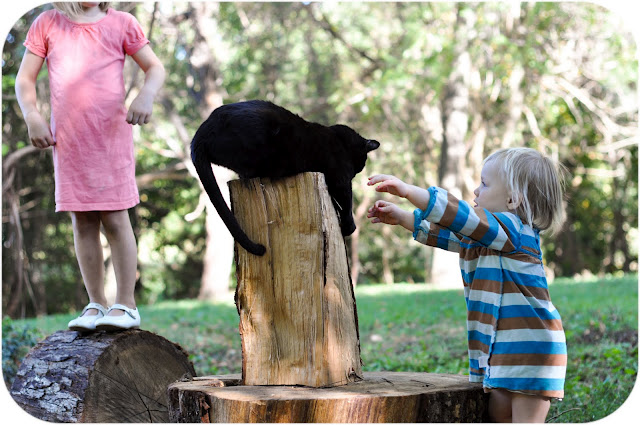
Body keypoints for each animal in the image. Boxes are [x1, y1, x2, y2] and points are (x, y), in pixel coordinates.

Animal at [191, 100, 380, 256]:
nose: (358, 170)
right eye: (362, 162)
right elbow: (347, 202)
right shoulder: (340, 178)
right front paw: (349, 226)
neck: (341, 140)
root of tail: (203, 129)